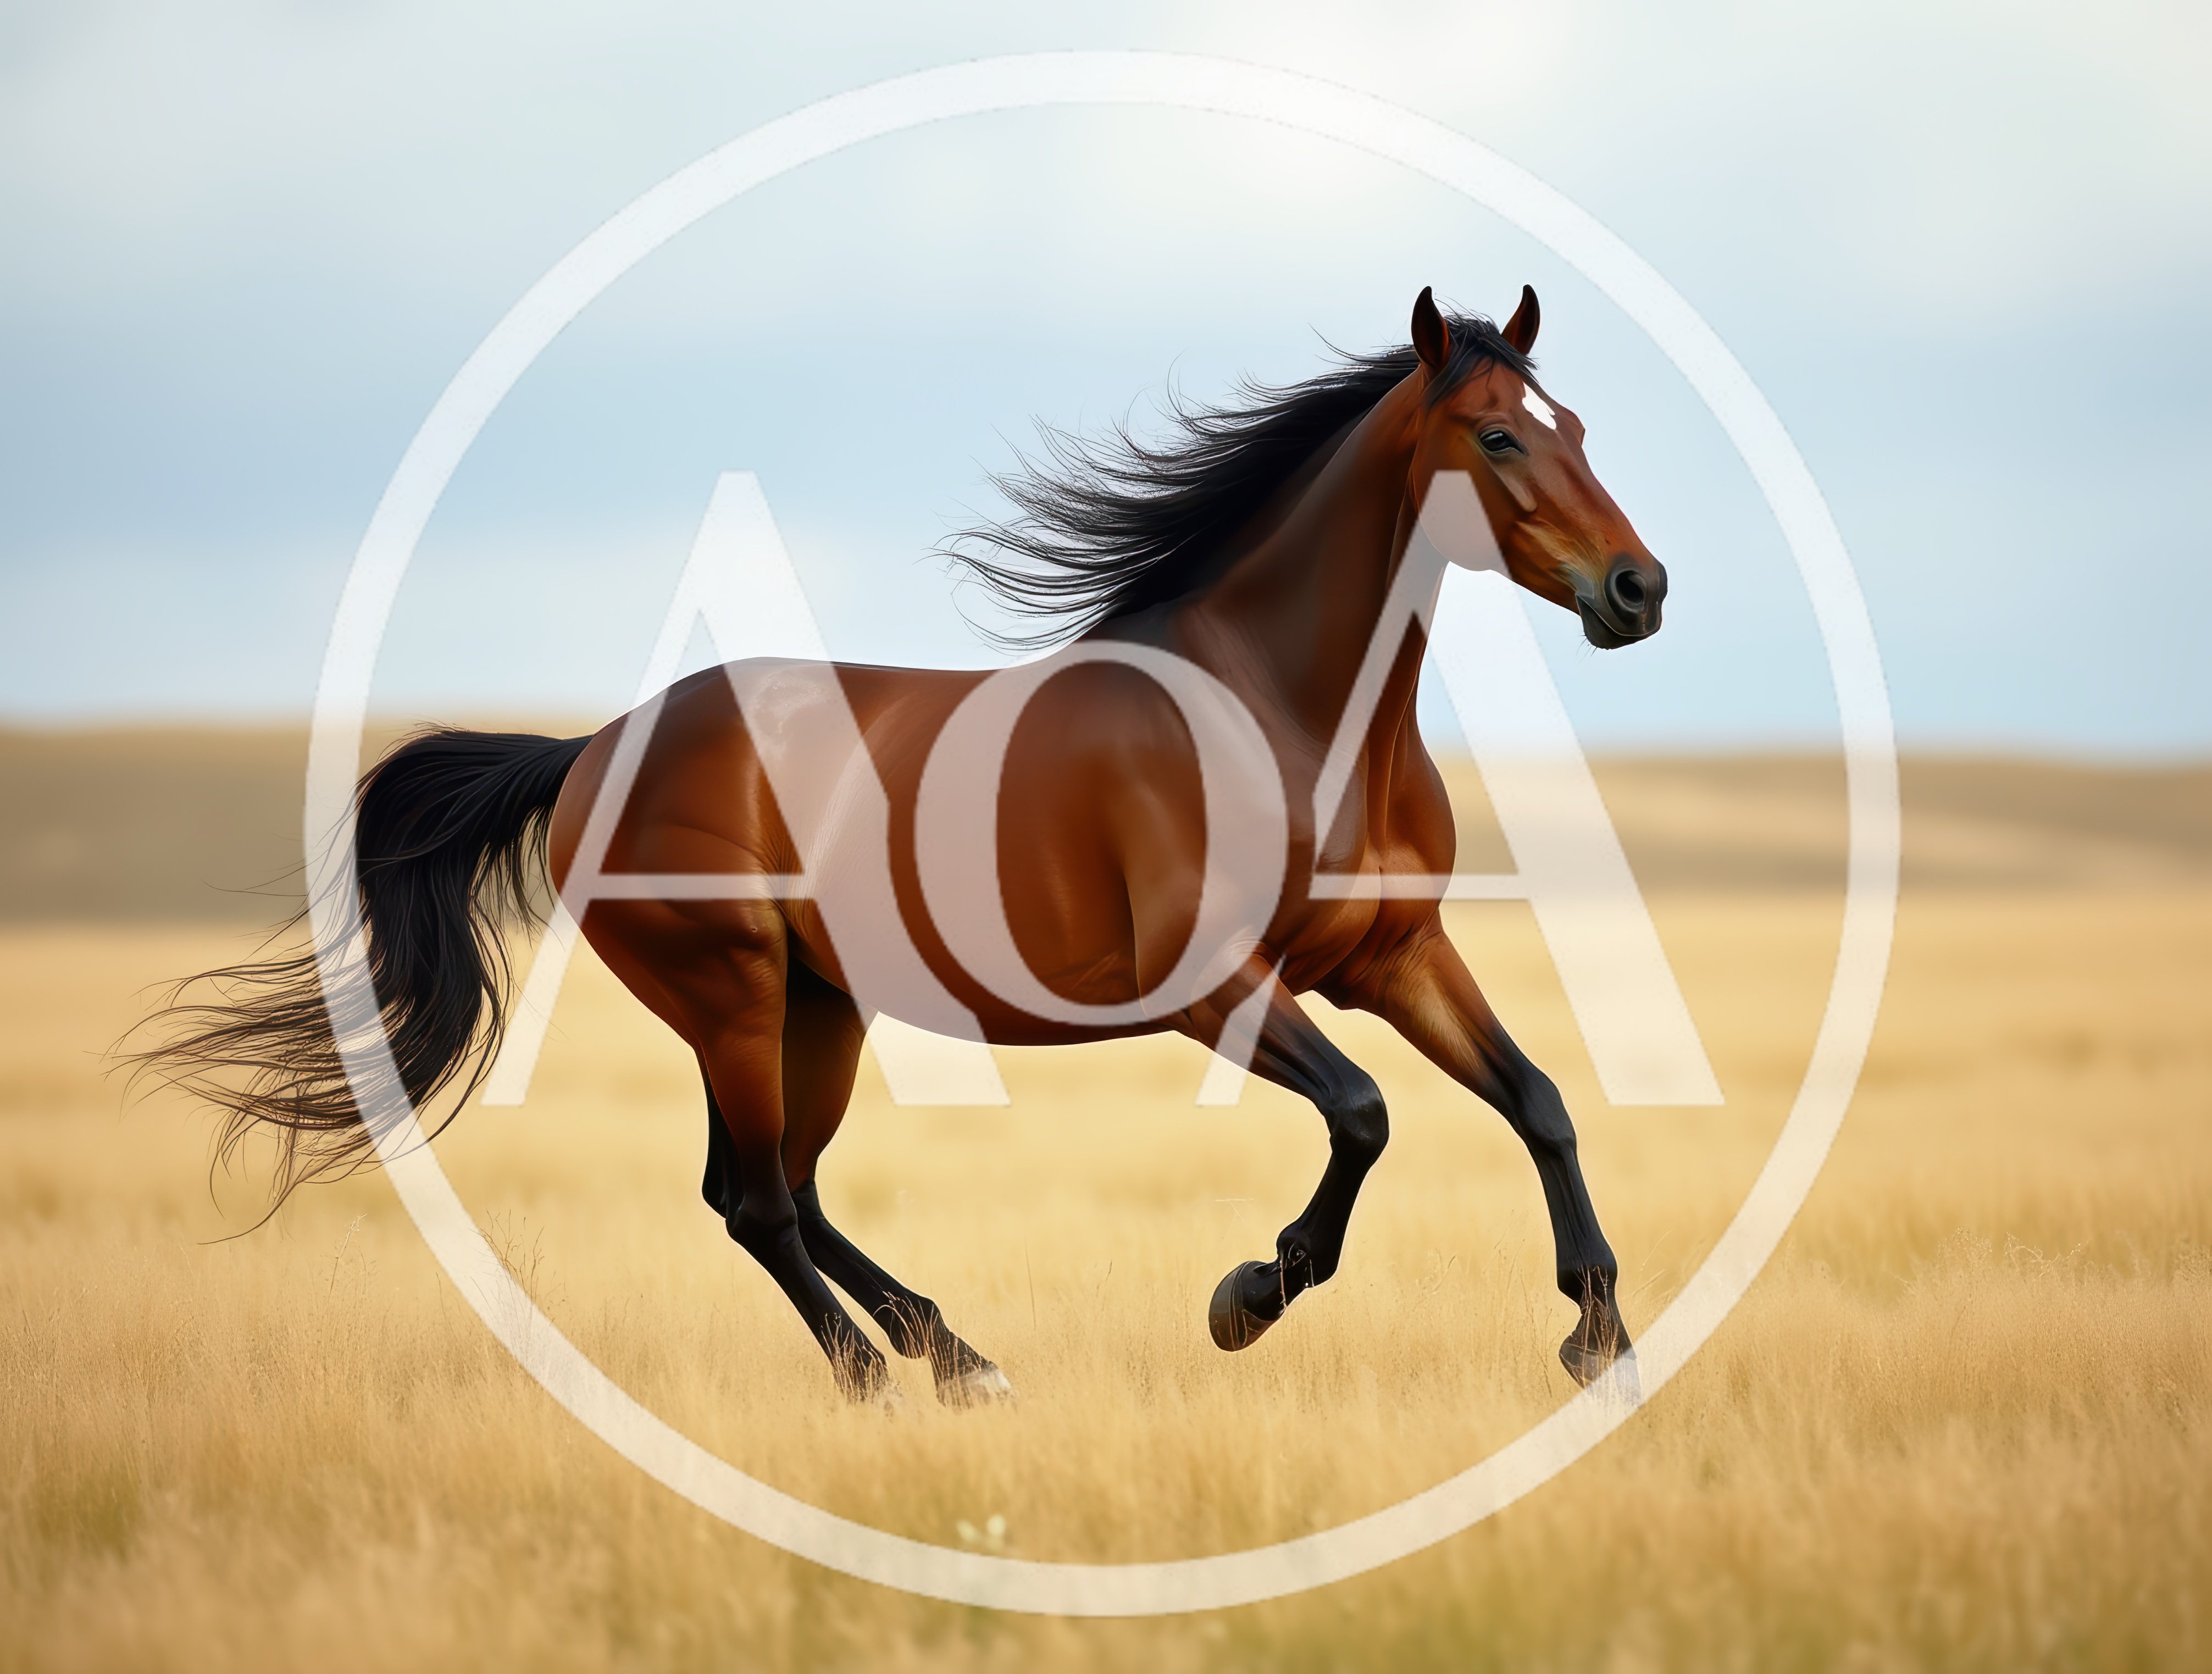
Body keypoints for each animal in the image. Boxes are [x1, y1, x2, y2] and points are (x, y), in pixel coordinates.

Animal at [135, 285, 1667, 1408]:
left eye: (1585, 423)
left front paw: (1598, 1334)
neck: (1280, 712)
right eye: (1497, 436)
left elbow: (1537, 1100)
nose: (1637, 590)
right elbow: (1362, 1112)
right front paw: (1248, 1294)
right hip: (733, 993)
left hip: (818, 1006)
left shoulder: (1394, 955)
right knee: (754, 1200)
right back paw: (884, 1377)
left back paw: (957, 1356)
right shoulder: (1212, 985)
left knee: (787, 1191)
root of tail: (590, 751)